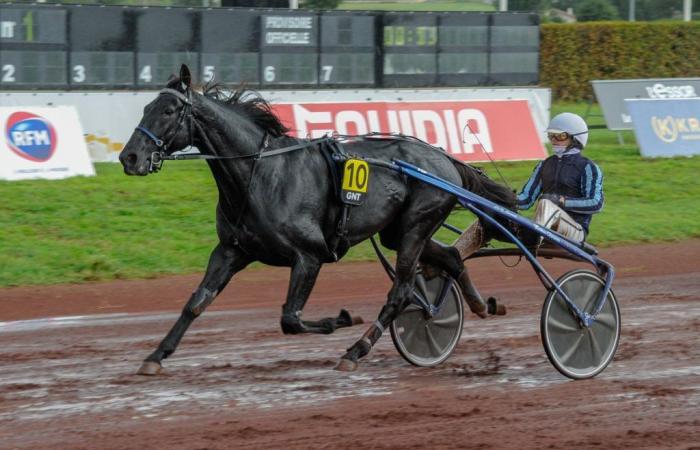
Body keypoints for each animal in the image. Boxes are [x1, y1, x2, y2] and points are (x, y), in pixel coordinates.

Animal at [119, 65, 516, 374]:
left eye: (169, 110)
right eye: (147, 106)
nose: (130, 157)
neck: (261, 174)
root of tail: (445, 159)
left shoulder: (309, 256)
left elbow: (290, 319)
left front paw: (342, 319)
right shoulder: (231, 251)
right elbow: (196, 302)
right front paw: (156, 355)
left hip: (416, 226)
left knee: (401, 292)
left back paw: (356, 350)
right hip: (398, 231)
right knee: (450, 257)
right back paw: (478, 305)